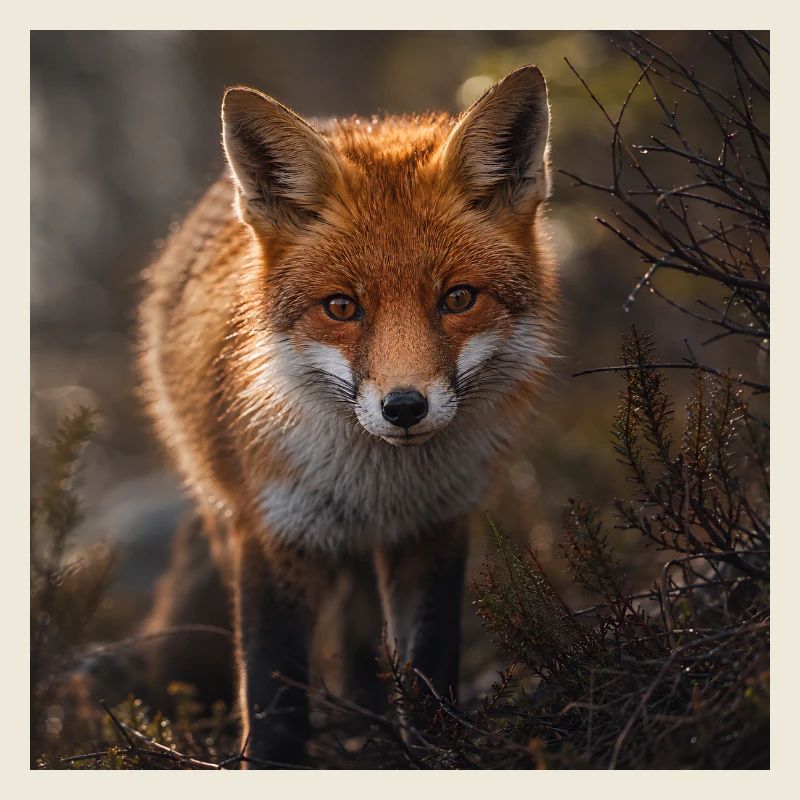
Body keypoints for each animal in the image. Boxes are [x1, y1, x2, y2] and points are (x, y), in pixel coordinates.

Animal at [137, 64, 558, 767]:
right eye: (341, 307)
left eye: (458, 298)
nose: (404, 406)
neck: (377, 486)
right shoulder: (273, 533)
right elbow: (275, 695)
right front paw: (271, 759)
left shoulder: (434, 527)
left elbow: (428, 668)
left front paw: (434, 751)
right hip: (226, 518)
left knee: (364, 643)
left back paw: (372, 725)